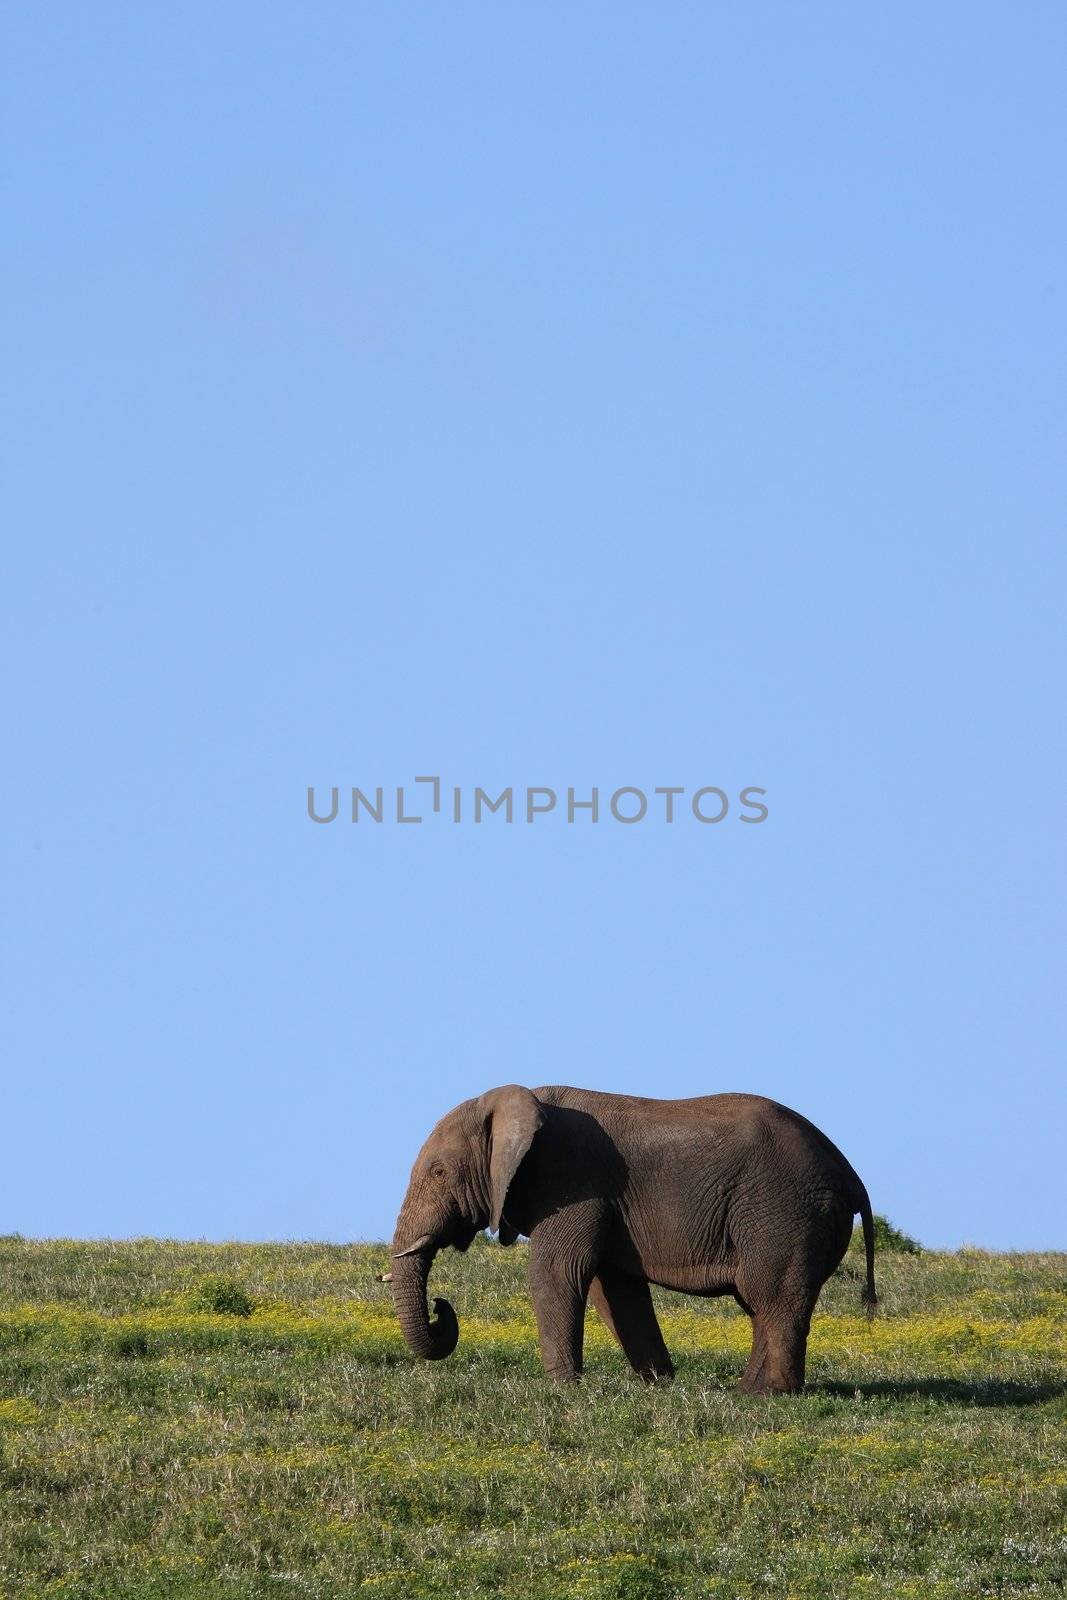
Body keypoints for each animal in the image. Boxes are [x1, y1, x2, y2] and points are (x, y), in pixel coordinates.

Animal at [390, 1081, 876, 1395]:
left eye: (439, 1172)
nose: (440, 1306)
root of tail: (851, 1176)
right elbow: (614, 1288)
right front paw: (659, 1385)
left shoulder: (573, 1181)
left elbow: (557, 1272)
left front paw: (563, 1389)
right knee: (760, 1305)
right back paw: (746, 1392)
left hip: (783, 1213)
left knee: (771, 1297)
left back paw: (771, 1395)